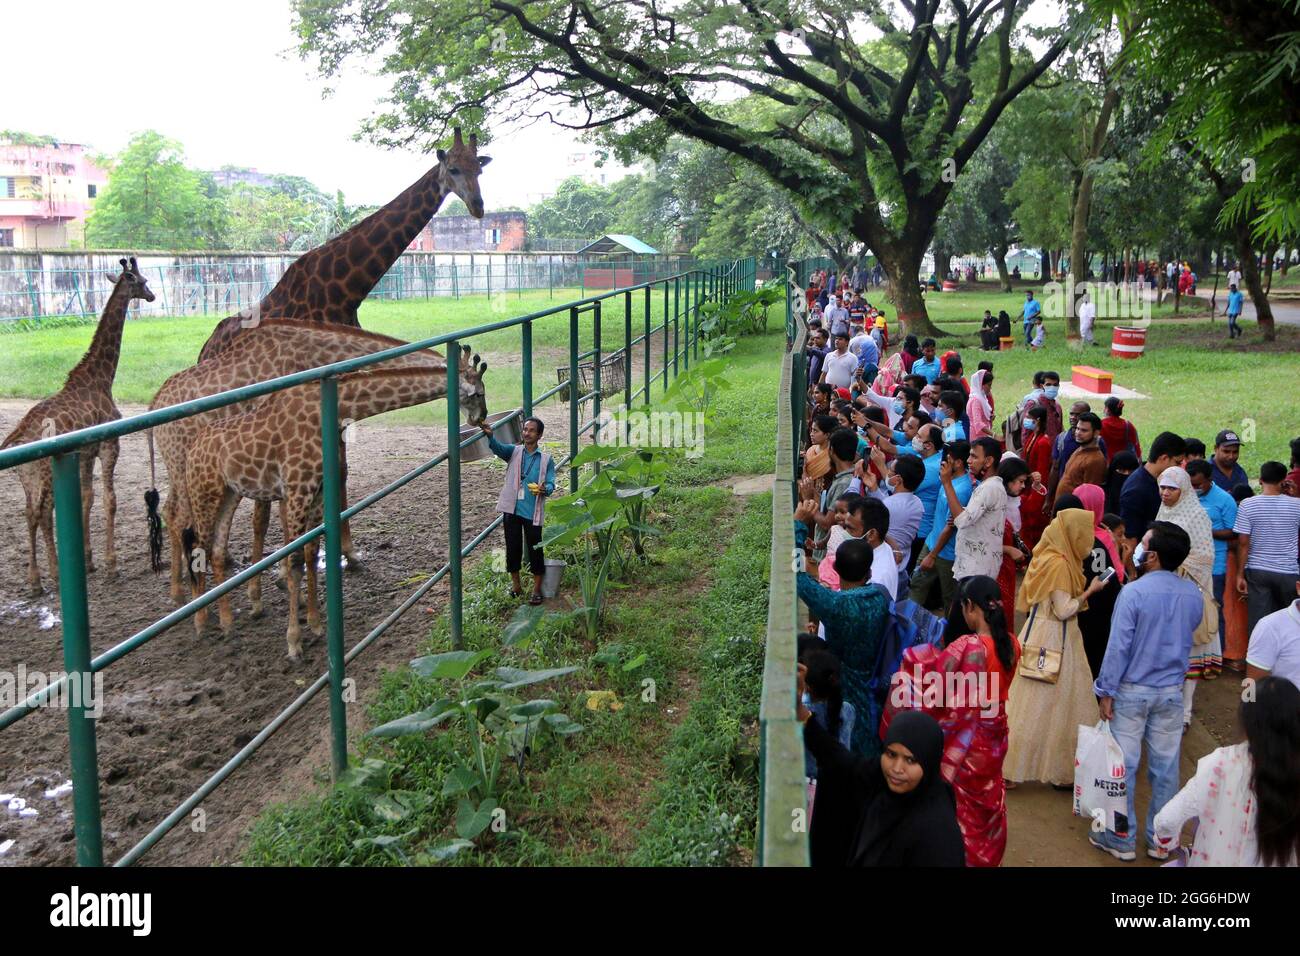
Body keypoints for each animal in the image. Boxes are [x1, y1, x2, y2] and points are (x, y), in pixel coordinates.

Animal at [2, 258, 154, 595]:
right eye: (141, 281)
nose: (151, 296)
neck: (102, 377)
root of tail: (15, 438)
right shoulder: (109, 446)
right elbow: (109, 500)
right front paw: (111, 565)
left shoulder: (86, 452)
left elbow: (88, 498)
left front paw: (89, 560)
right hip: (46, 471)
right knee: (44, 512)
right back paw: (54, 575)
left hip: (27, 475)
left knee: (30, 513)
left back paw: (35, 579)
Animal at [146, 319, 447, 610]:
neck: (312, 354)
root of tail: (153, 405)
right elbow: (266, 520)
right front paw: (264, 593)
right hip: (183, 461)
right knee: (179, 515)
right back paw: (182, 594)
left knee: (171, 511)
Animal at [183, 348, 488, 659]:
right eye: (478, 393)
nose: (482, 417)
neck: (335, 409)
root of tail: (193, 448)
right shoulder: (298, 489)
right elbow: (294, 561)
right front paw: (294, 642)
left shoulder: (317, 492)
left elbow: (310, 552)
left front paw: (317, 625)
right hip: (205, 492)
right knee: (197, 546)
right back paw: (200, 623)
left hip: (228, 495)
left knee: (216, 551)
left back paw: (226, 623)